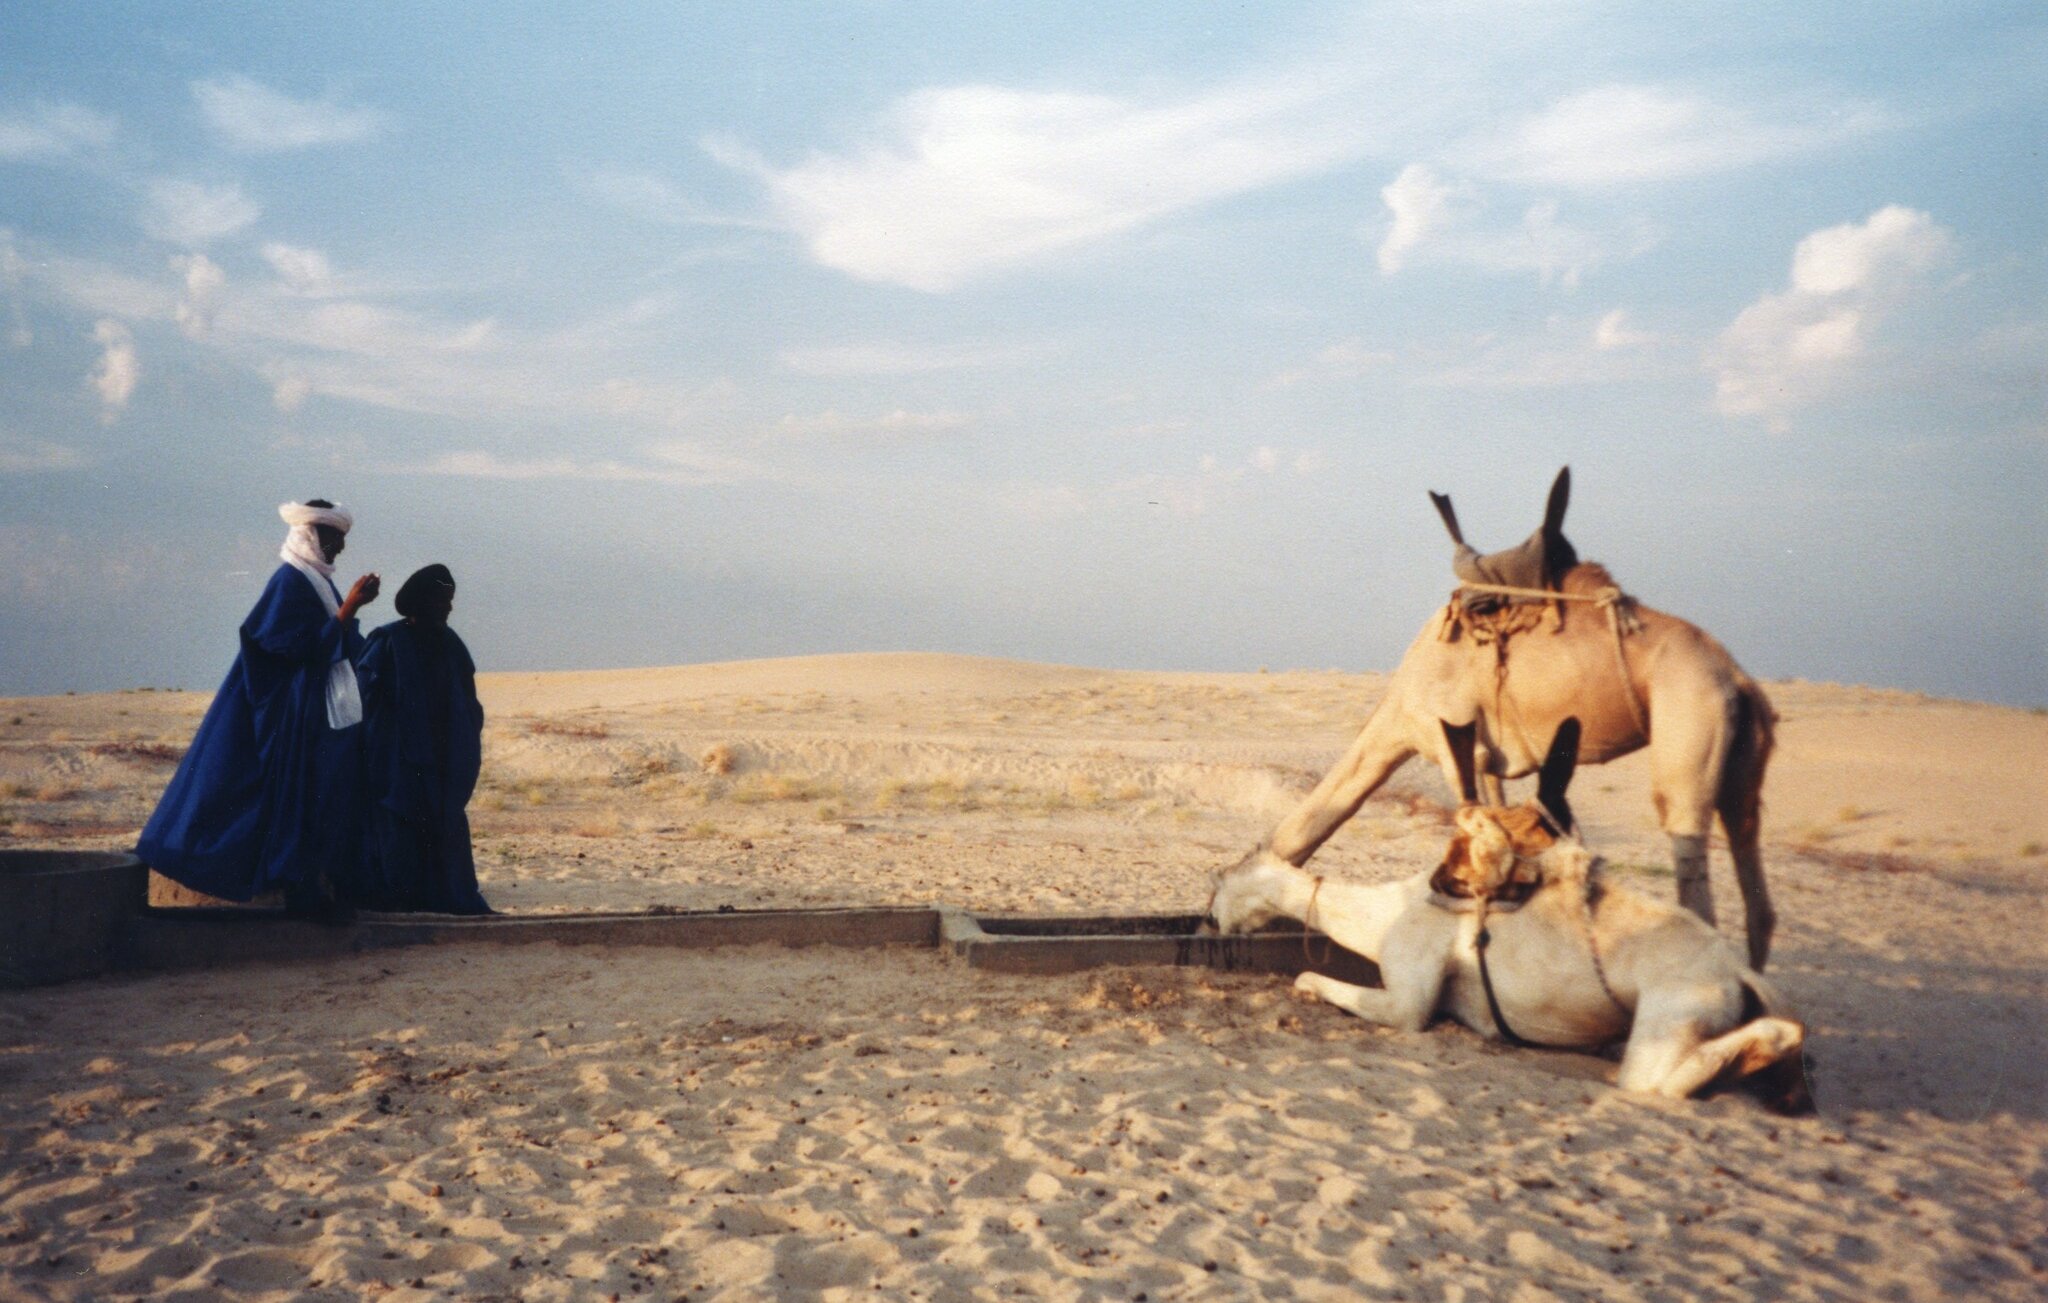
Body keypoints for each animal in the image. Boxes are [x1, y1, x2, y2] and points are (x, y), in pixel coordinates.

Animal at [1208, 721, 1810, 1107]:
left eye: (1219, 887)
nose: (1209, 922)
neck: (1386, 913)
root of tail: (1736, 973)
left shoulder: (1408, 1001)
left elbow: (1321, 981)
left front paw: (1306, 985)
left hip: (1670, 1021)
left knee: (1659, 1082)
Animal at [1261, 468, 1778, 968]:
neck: (1399, 709)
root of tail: (1739, 679)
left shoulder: (1449, 737)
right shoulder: (1487, 755)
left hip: (1689, 729)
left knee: (1693, 866)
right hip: (1742, 764)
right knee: (1756, 886)